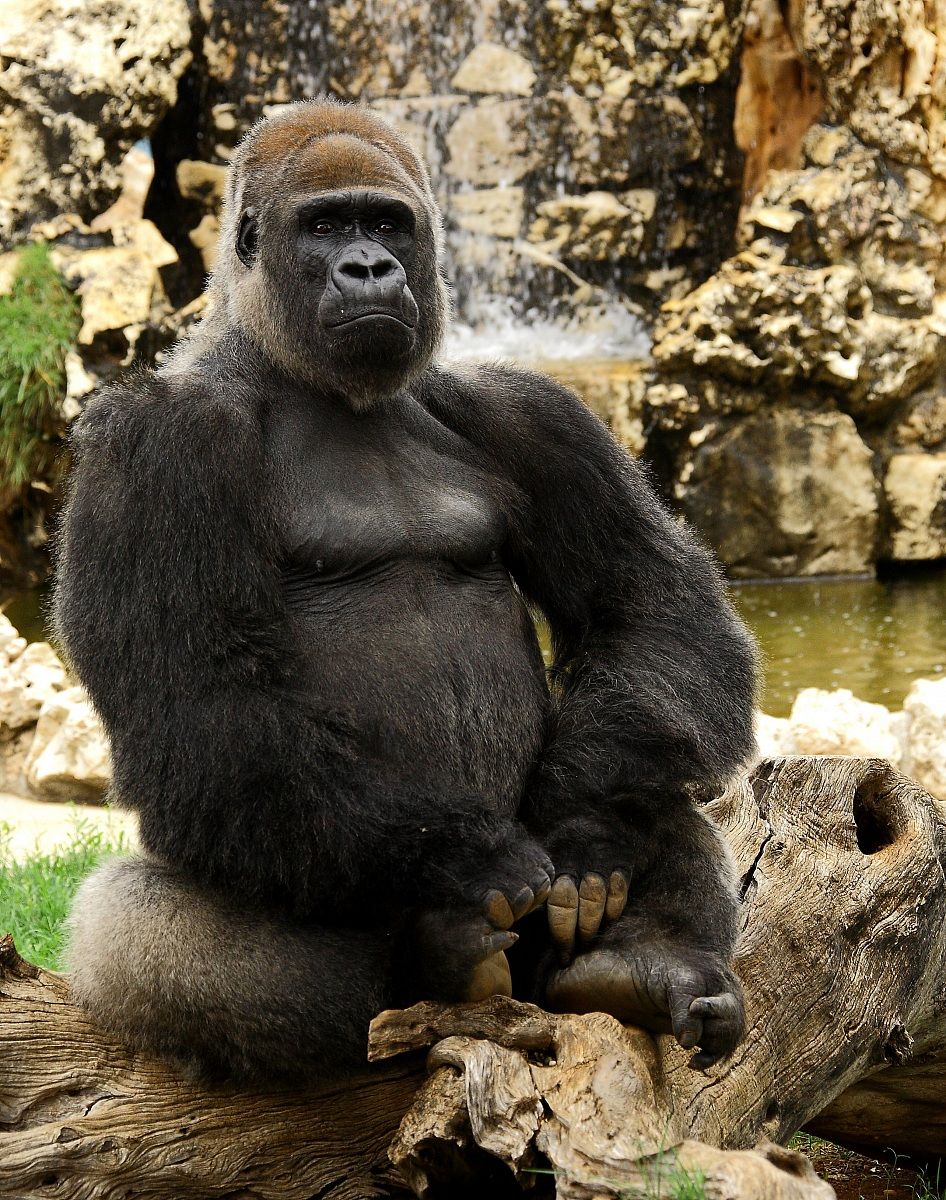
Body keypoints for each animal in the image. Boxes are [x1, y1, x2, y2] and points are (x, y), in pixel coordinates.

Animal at [56, 99, 757, 1083]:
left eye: (386, 223)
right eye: (325, 227)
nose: (369, 267)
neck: (299, 372)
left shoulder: (529, 407)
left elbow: (646, 602)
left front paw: (582, 819)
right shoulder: (149, 446)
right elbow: (202, 700)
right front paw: (468, 862)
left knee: (653, 759)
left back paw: (646, 962)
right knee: (131, 920)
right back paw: (435, 953)